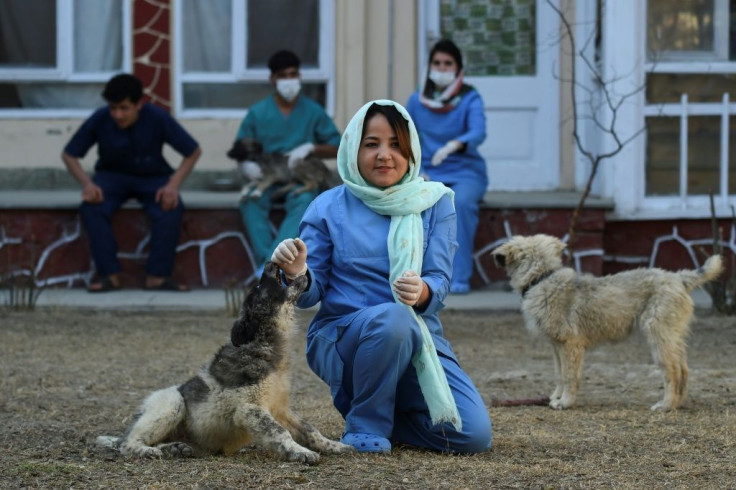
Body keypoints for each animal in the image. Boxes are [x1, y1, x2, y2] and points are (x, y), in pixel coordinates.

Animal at [492, 235, 720, 412]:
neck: (541, 278)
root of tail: (678, 277)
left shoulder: (570, 346)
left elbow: (569, 376)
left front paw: (565, 402)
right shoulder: (556, 346)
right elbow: (559, 374)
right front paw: (556, 397)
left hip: (658, 336)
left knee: (672, 370)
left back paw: (665, 405)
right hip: (672, 337)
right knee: (684, 368)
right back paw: (677, 403)